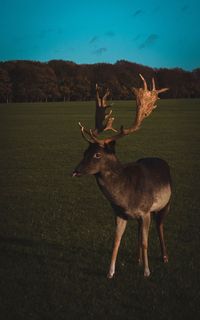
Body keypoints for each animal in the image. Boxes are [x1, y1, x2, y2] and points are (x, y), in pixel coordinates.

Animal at [72, 75, 170, 278]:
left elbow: (145, 242)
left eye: (97, 154)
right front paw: (110, 272)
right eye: (85, 151)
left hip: (166, 204)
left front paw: (147, 272)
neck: (126, 197)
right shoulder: (119, 213)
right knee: (140, 231)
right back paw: (137, 259)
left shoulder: (146, 211)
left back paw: (164, 257)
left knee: (160, 227)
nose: (76, 170)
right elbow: (116, 241)